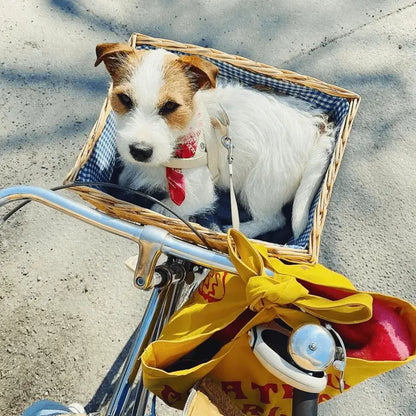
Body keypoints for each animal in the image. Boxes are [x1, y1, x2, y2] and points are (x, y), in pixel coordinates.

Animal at [94, 43, 334, 239]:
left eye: (170, 106)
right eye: (125, 99)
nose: (140, 151)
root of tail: (317, 128)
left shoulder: (197, 194)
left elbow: (161, 209)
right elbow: (126, 177)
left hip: (261, 186)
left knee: (273, 220)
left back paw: (238, 232)